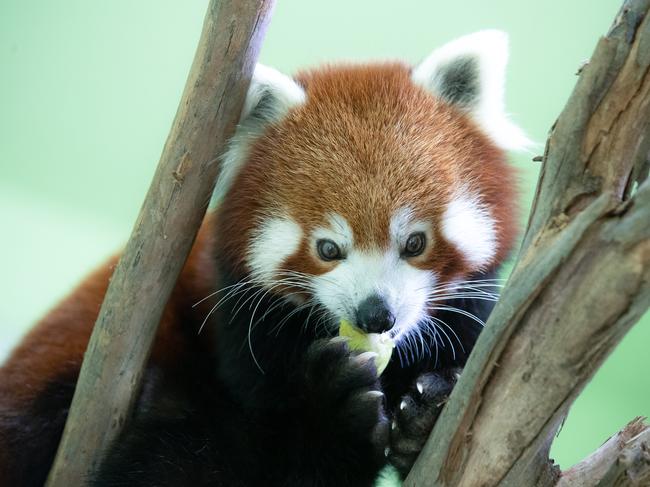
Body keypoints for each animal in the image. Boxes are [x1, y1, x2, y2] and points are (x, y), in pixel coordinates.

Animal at [0, 31, 528, 487]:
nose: (376, 315)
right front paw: (332, 410)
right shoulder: (245, 328)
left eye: (415, 242)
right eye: (328, 249)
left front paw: (426, 411)